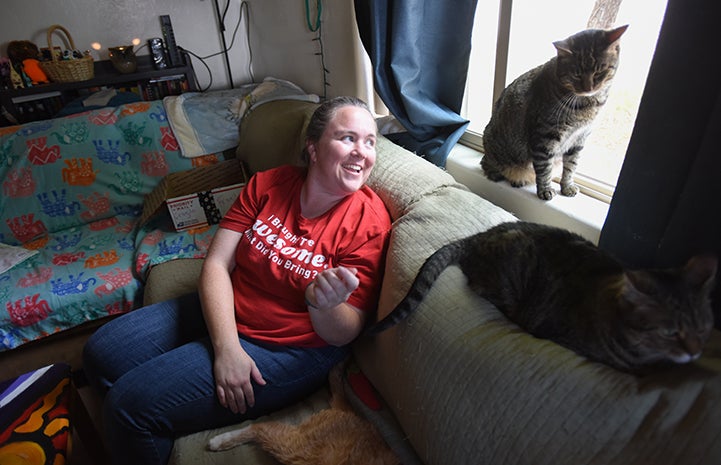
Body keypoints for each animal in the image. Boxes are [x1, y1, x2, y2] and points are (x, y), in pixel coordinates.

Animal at [480, 25, 628, 199]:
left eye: (599, 72)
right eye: (576, 74)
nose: (588, 88)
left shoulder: (579, 140)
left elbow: (571, 166)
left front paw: (567, 186)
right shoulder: (544, 138)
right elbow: (544, 169)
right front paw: (545, 189)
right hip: (495, 148)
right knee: (487, 164)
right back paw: (513, 177)